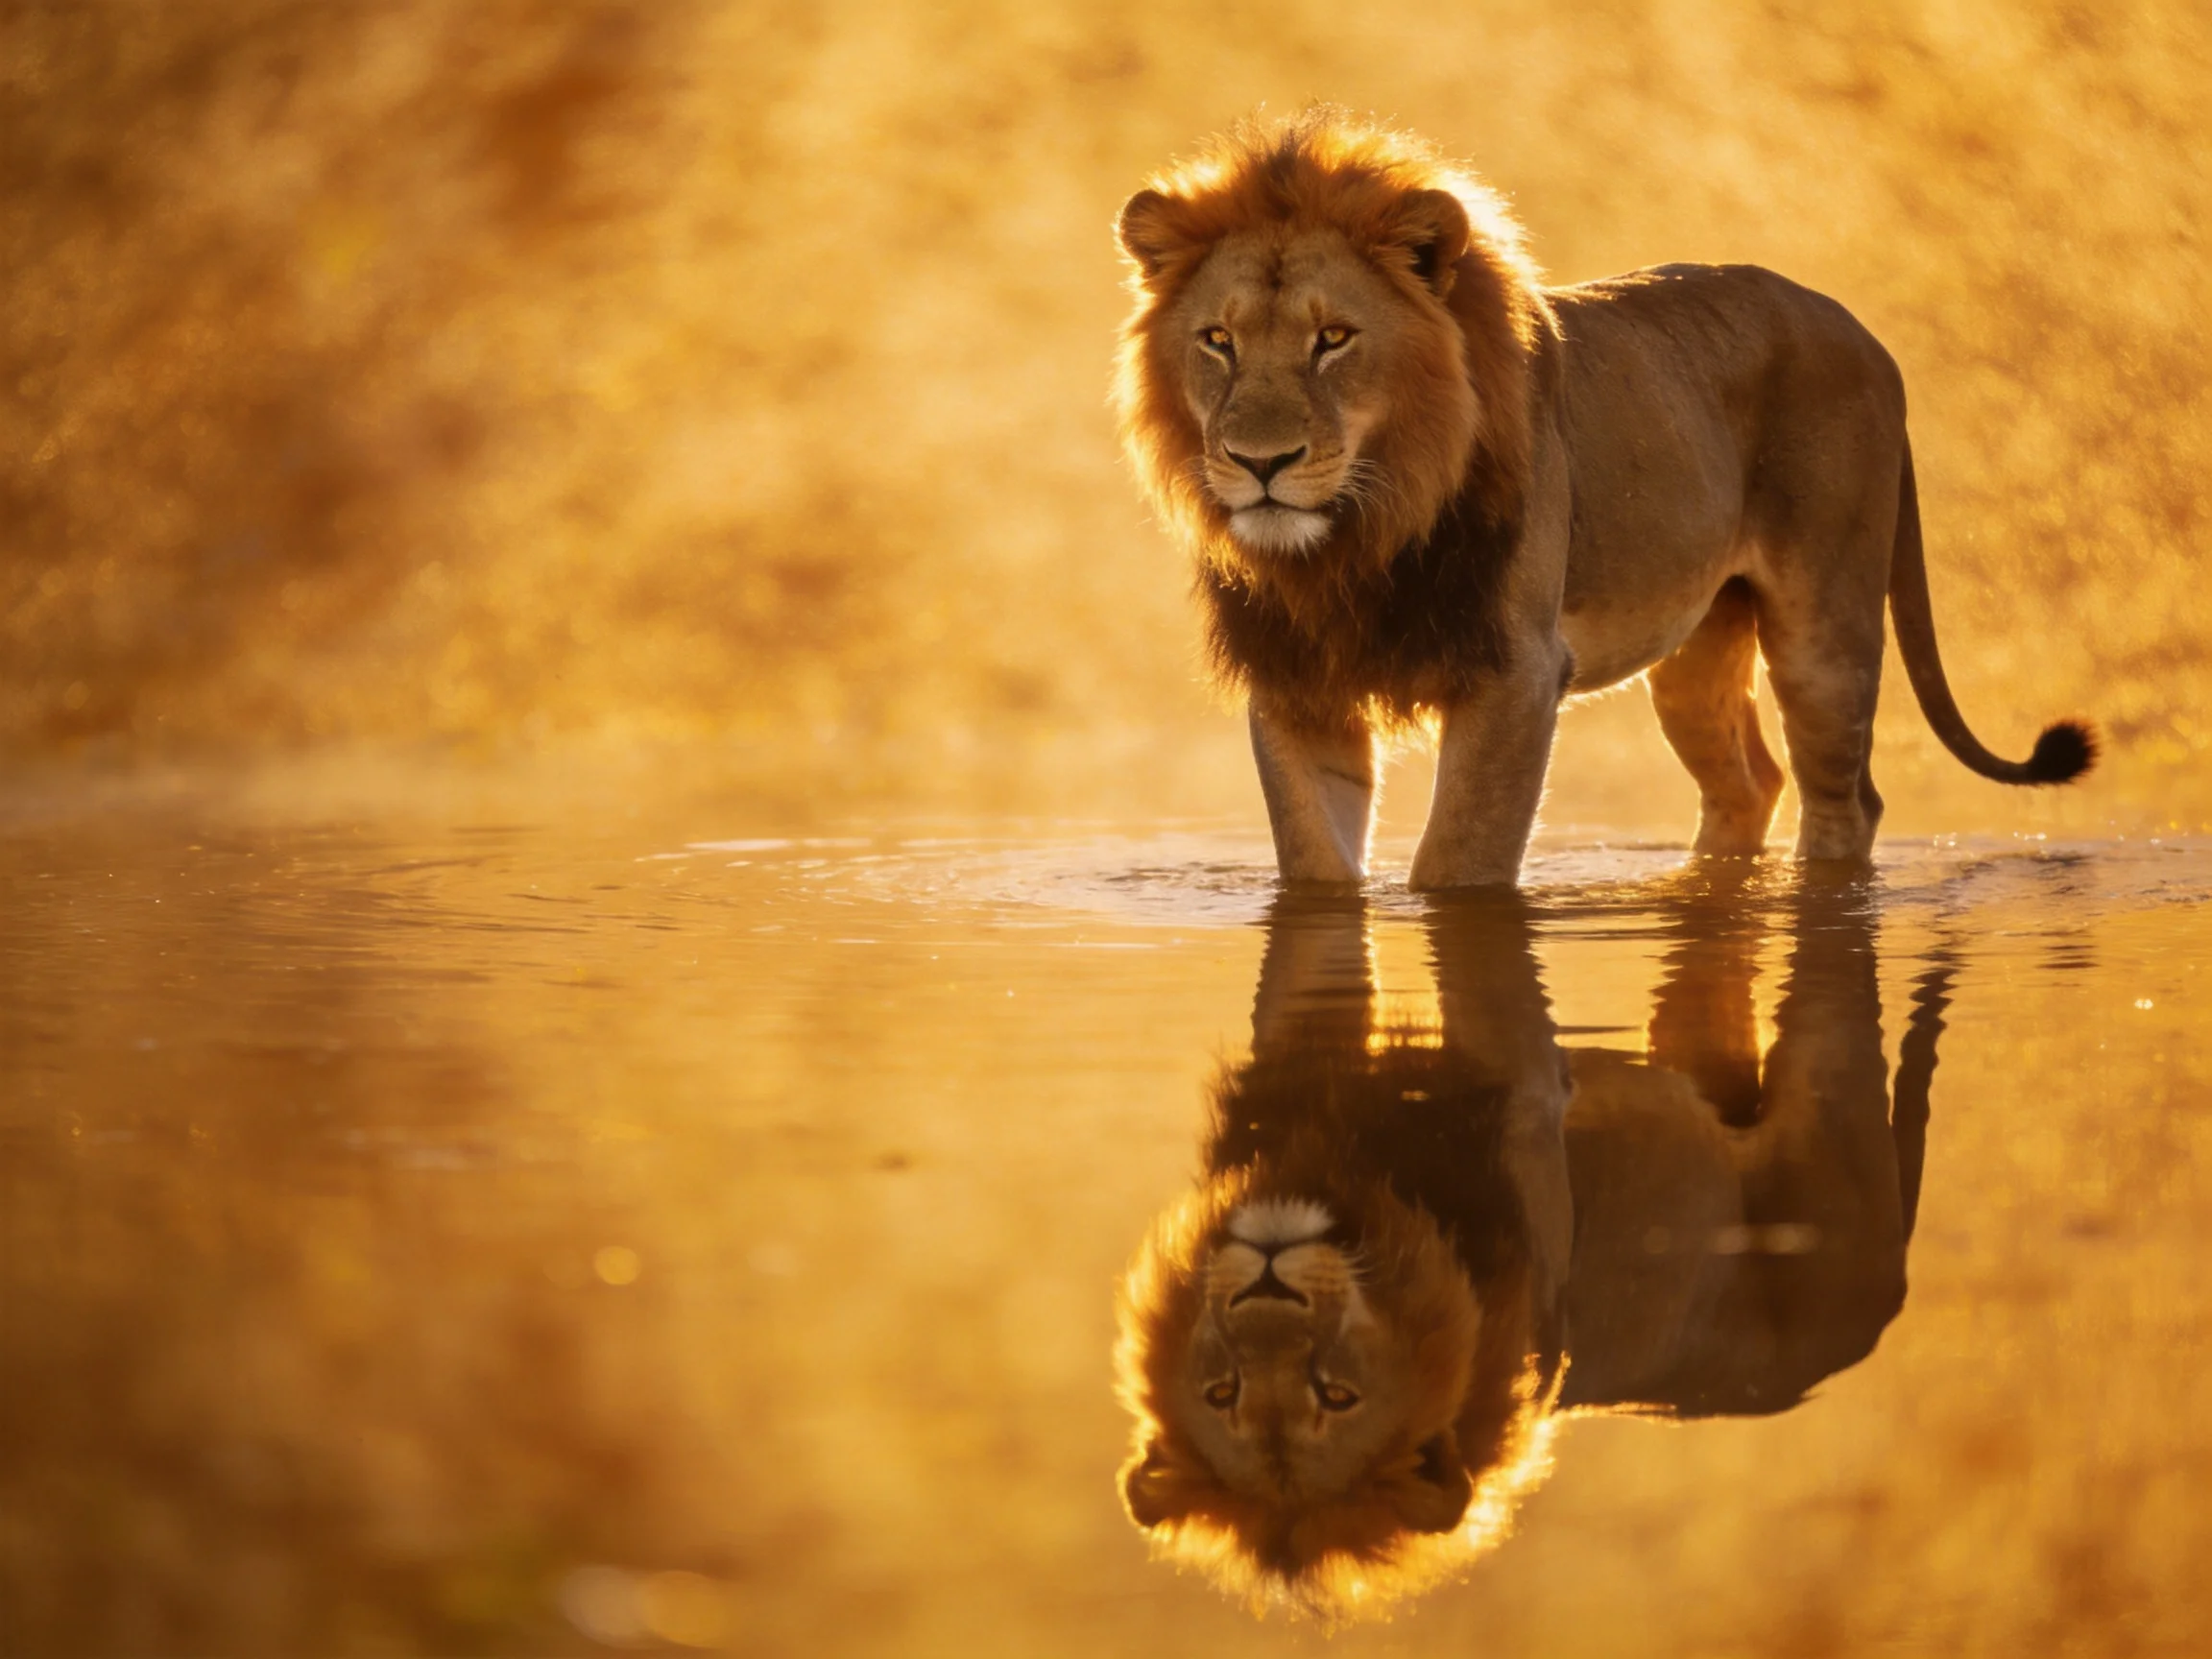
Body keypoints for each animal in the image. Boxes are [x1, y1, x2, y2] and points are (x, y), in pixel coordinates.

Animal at [1114, 110, 2093, 890]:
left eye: (1334, 339)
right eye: (1217, 341)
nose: (1261, 461)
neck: (1358, 538)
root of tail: (1864, 334)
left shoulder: (1514, 672)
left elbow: (1455, 864)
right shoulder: (1296, 681)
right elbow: (1316, 866)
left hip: (1826, 626)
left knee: (1845, 802)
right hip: (1698, 647)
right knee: (1749, 785)